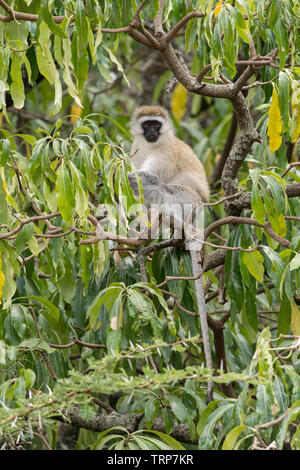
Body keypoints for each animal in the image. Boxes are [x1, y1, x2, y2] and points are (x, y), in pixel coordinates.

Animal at [129, 106, 213, 404]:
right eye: (147, 125)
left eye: (157, 124)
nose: (153, 132)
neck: (154, 145)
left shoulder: (167, 155)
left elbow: (147, 178)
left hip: (188, 202)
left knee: (159, 189)